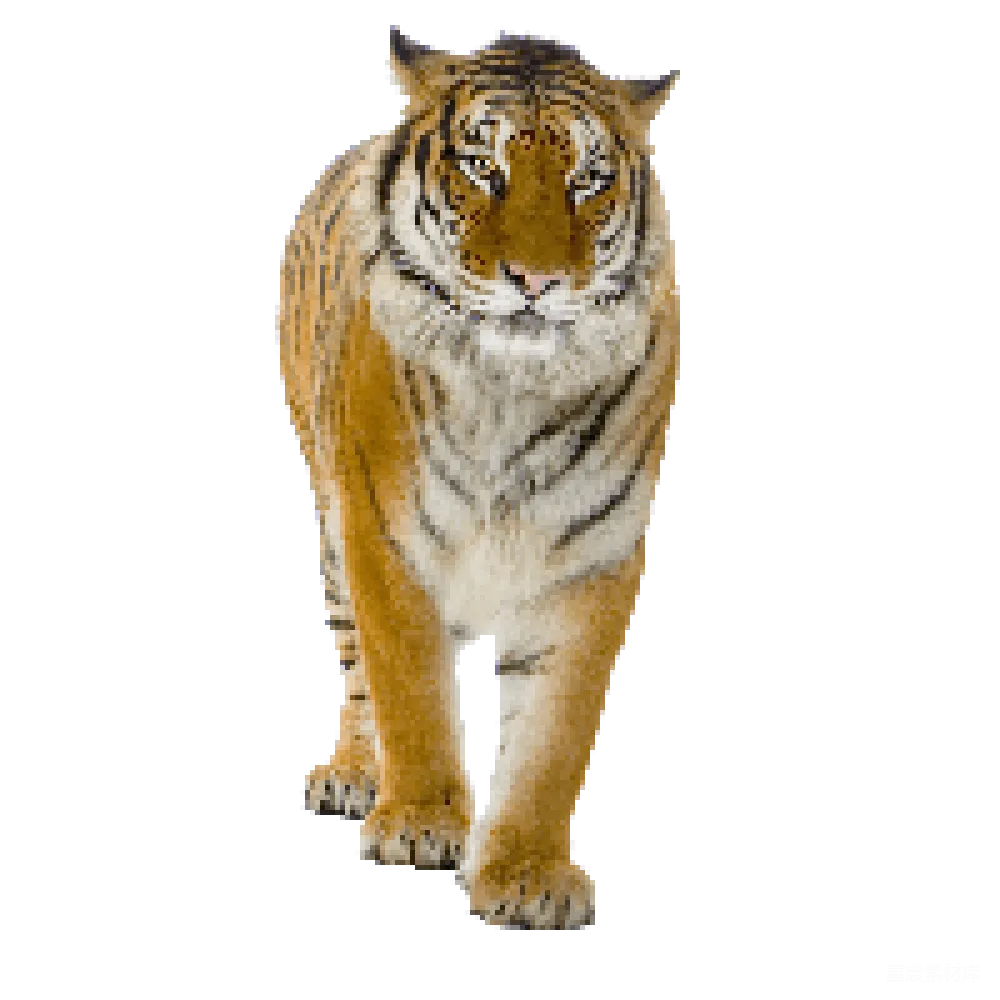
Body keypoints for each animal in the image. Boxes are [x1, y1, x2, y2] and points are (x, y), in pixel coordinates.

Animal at [284, 27, 679, 933]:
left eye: (587, 179)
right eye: (482, 168)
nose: (534, 282)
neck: (511, 389)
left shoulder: (593, 558)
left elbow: (553, 737)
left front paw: (529, 874)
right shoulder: (385, 536)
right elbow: (408, 691)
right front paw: (421, 822)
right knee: (356, 672)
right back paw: (353, 774)